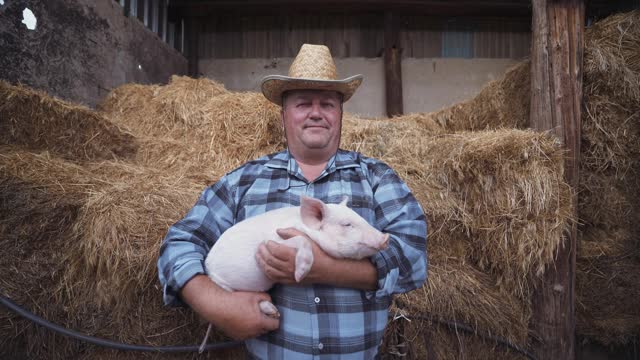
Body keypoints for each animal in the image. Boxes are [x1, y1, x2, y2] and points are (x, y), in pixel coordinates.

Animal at [200, 195, 388, 350]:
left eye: (361, 217)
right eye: (347, 224)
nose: (386, 238)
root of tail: (209, 268)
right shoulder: (273, 242)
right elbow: (303, 241)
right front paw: (300, 275)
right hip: (224, 284)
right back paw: (274, 312)